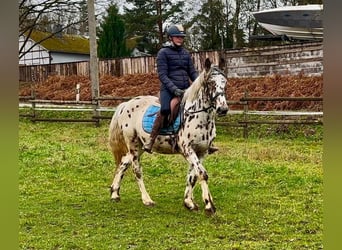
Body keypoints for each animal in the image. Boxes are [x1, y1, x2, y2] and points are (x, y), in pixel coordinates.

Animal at [108, 58, 228, 215]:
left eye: (225, 83)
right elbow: (202, 174)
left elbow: (193, 176)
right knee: (136, 170)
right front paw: (209, 205)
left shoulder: (201, 152)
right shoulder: (188, 149)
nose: (223, 109)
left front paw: (189, 202)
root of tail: (126, 104)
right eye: (211, 83)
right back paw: (147, 200)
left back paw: (115, 194)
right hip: (133, 144)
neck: (199, 115)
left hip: (140, 146)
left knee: (123, 163)